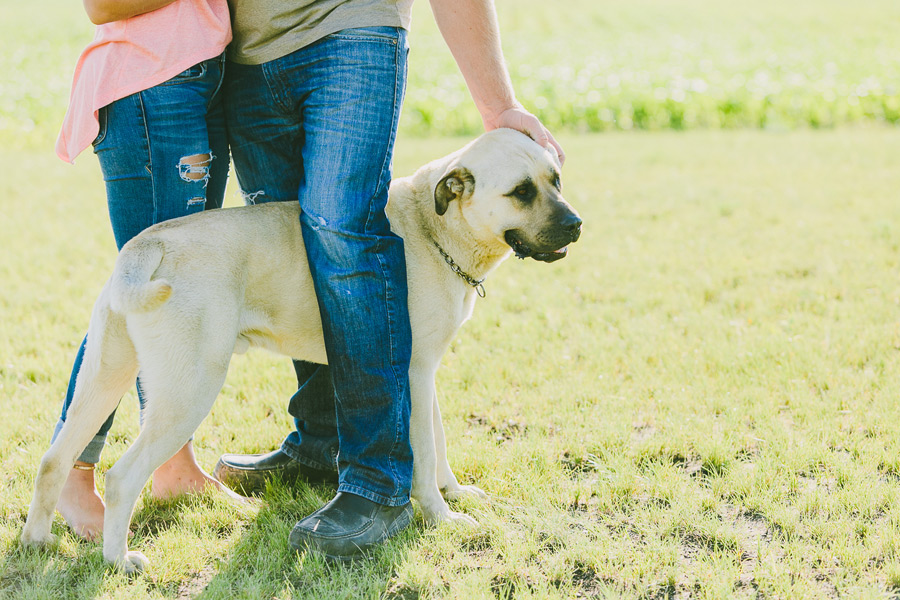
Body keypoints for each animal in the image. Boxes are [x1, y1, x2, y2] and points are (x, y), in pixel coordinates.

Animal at [22, 127, 584, 572]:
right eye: (521, 191)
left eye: (555, 179)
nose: (577, 225)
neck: (433, 225)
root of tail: (148, 244)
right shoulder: (413, 373)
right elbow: (423, 456)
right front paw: (441, 516)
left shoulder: (425, 375)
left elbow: (439, 445)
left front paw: (455, 493)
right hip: (189, 390)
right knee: (121, 478)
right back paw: (119, 560)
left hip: (104, 377)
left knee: (54, 458)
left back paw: (36, 543)